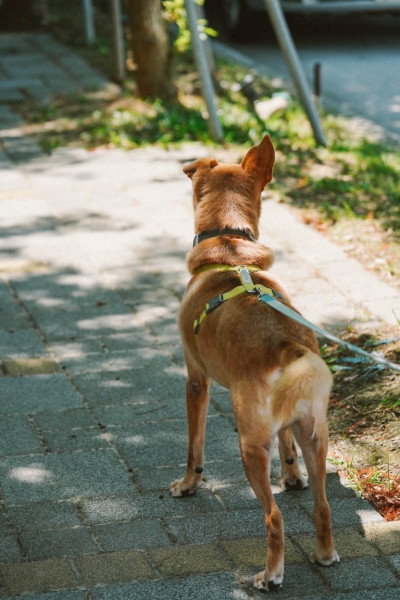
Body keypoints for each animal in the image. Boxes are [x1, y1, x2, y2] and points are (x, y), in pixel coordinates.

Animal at [170, 136, 340, 592]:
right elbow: (286, 448)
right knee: (322, 505)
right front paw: (292, 478)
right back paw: (325, 554)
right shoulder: (285, 425)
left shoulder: (196, 381)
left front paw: (188, 485)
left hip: (249, 446)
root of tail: (288, 344)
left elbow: (194, 445)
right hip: (315, 436)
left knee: (274, 518)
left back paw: (270, 575)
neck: (230, 249)